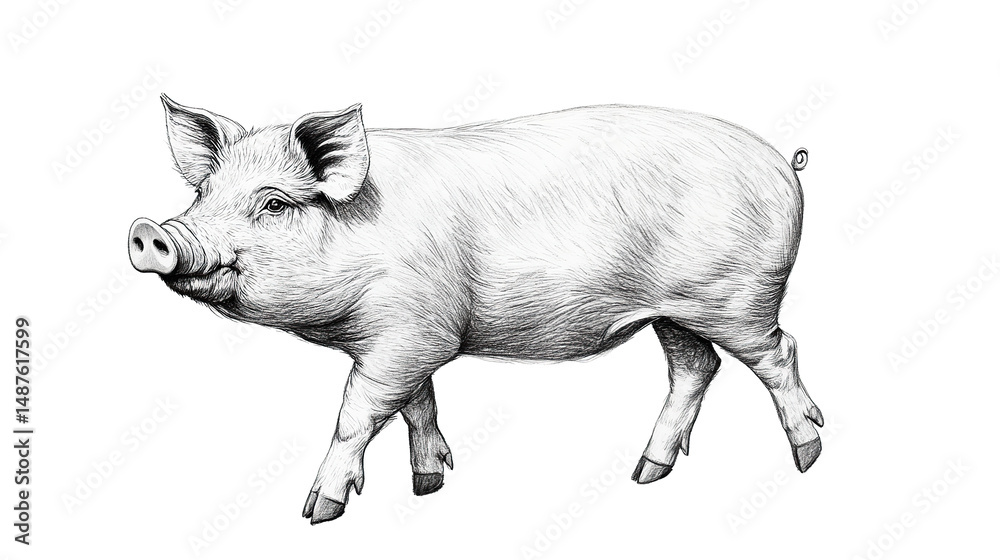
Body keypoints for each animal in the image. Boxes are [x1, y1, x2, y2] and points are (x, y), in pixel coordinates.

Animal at [128, 94, 823, 525]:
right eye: (203, 192)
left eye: (273, 203)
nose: (150, 231)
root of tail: (783, 164)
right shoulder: (417, 337)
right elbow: (417, 405)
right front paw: (429, 485)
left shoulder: (408, 335)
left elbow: (357, 410)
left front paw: (318, 511)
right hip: (673, 312)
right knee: (695, 367)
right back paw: (644, 475)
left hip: (738, 297)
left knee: (779, 352)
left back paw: (807, 455)